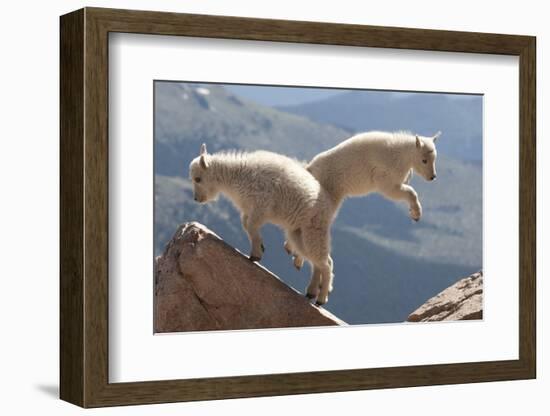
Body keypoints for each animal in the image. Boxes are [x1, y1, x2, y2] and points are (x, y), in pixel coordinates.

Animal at [190, 145, 338, 304]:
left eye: (198, 179)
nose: (197, 199)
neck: (236, 176)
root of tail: (329, 208)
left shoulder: (261, 206)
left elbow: (250, 225)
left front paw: (256, 254)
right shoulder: (249, 210)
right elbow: (246, 225)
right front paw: (260, 247)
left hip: (313, 230)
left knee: (326, 264)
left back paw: (321, 298)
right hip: (297, 233)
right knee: (318, 262)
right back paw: (311, 292)